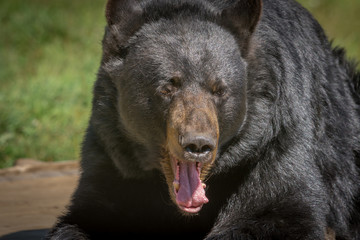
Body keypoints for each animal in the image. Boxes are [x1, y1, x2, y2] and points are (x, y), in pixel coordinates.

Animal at [47, 0, 360, 239]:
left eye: (219, 89)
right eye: (167, 87)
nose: (197, 144)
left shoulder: (276, 137)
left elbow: (276, 210)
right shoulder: (115, 156)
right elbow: (91, 216)